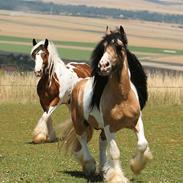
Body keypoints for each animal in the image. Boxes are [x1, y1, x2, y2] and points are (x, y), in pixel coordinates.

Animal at [60, 25, 152, 182]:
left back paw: (103, 169)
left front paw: (136, 166)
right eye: (103, 47)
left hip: (101, 128)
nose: (103, 65)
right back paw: (90, 166)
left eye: (119, 46)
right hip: (79, 122)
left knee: (101, 143)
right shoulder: (110, 127)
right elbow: (115, 152)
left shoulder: (136, 122)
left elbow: (142, 144)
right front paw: (117, 177)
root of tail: (78, 84)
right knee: (82, 140)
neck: (122, 98)